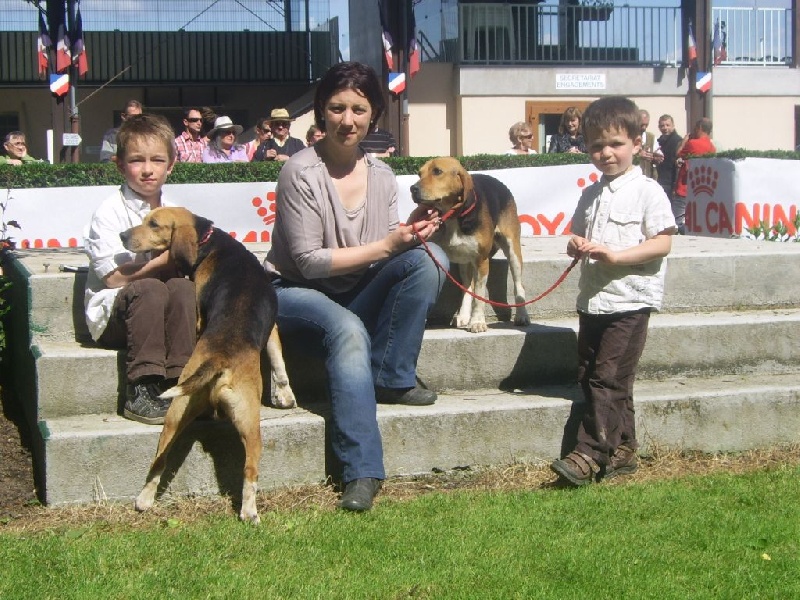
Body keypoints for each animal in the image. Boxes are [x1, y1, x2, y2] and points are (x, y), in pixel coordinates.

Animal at [119, 207, 294, 524]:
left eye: (153, 224)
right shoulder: (271, 327)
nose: (122, 235)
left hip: (179, 414)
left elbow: (278, 361)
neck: (209, 240)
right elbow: (278, 361)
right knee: (249, 471)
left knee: (160, 460)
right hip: (247, 422)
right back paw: (249, 512)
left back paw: (145, 500)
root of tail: (219, 358)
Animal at [412, 156, 532, 332]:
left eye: (437, 171)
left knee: (519, 284)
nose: (412, 189)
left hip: (513, 251)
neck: (453, 217)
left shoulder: (481, 261)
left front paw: (477, 322)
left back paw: (522, 315)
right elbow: (471, 290)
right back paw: (463, 315)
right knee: (468, 286)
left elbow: (480, 295)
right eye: (419, 173)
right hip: (464, 261)